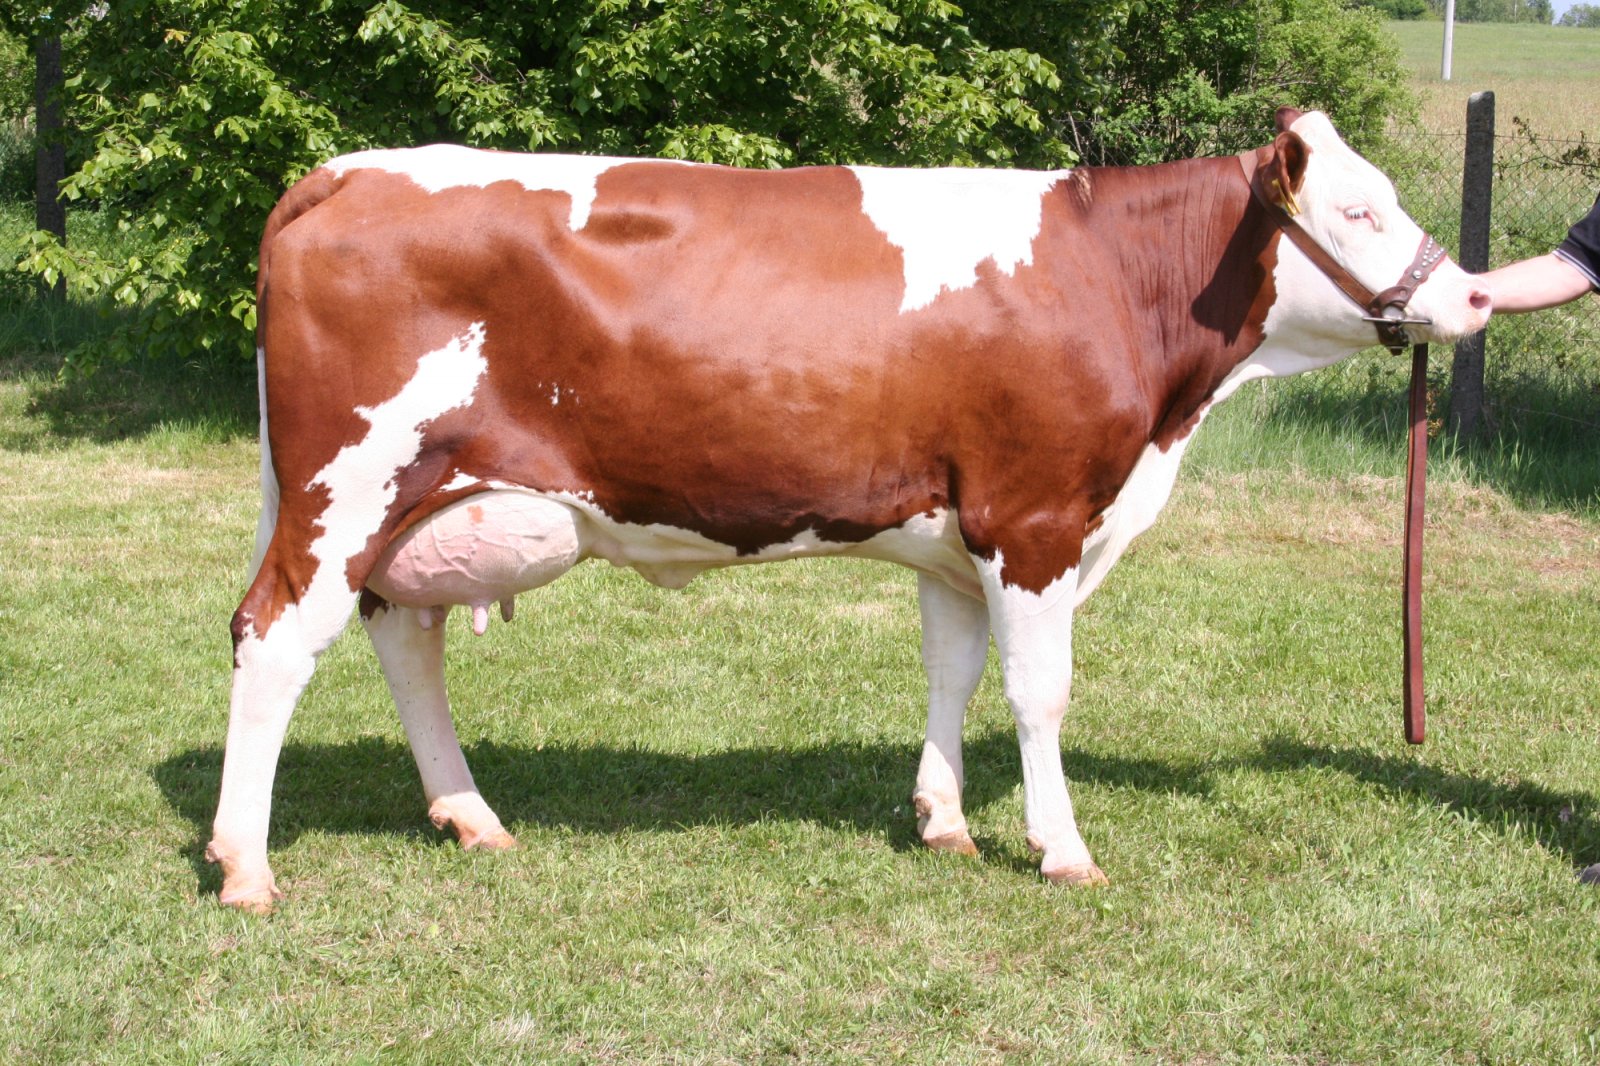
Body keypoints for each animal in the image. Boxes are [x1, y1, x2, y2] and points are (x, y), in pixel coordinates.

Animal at [206, 108, 1491, 910]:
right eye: (1360, 211)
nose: (1474, 296)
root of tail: (346, 168)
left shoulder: (956, 538)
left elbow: (951, 672)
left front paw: (944, 821)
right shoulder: (1033, 518)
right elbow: (1038, 692)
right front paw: (1061, 848)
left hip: (410, 504)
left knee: (403, 636)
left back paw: (468, 813)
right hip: (345, 490)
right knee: (273, 639)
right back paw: (245, 866)